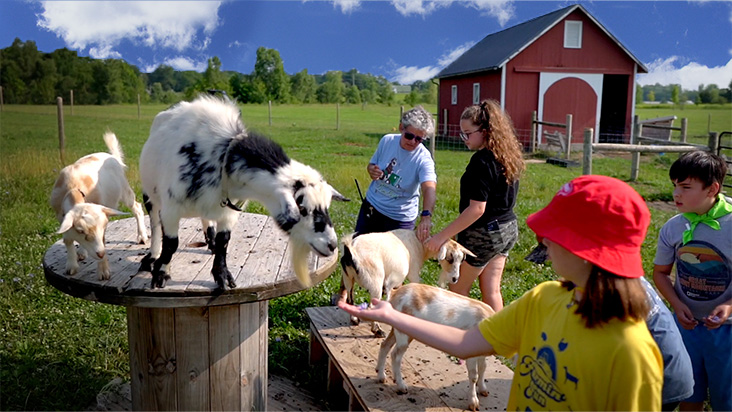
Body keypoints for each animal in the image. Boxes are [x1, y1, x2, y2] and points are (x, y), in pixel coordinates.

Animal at [51, 132, 149, 280]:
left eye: (103, 226)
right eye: (80, 230)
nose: (100, 254)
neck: (73, 188)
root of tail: (112, 156)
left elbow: (102, 240)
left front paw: (103, 272)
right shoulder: (62, 217)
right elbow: (67, 239)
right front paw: (71, 266)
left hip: (124, 189)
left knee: (136, 207)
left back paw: (142, 236)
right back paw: (82, 252)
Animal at [138, 96, 348, 290]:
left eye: (326, 206)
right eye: (302, 208)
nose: (332, 245)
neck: (222, 158)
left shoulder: (229, 212)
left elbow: (223, 242)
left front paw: (222, 275)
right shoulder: (171, 209)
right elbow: (171, 243)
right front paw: (161, 274)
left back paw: (209, 240)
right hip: (150, 194)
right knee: (155, 224)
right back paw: (151, 257)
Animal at [338, 229, 474, 338]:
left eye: (462, 260)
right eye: (449, 259)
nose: (455, 279)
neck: (420, 245)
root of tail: (351, 251)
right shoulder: (414, 273)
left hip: (348, 278)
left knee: (350, 298)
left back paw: (354, 320)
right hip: (375, 279)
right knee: (371, 306)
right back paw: (378, 331)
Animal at [378, 284, 492, 412]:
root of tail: (395, 293)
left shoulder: (481, 354)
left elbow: (483, 368)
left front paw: (483, 390)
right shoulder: (470, 353)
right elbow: (473, 376)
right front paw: (473, 403)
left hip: (396, 327)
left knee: (385, 345)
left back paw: (381, 376)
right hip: (403, 333)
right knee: (395, 355)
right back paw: (401, 386)